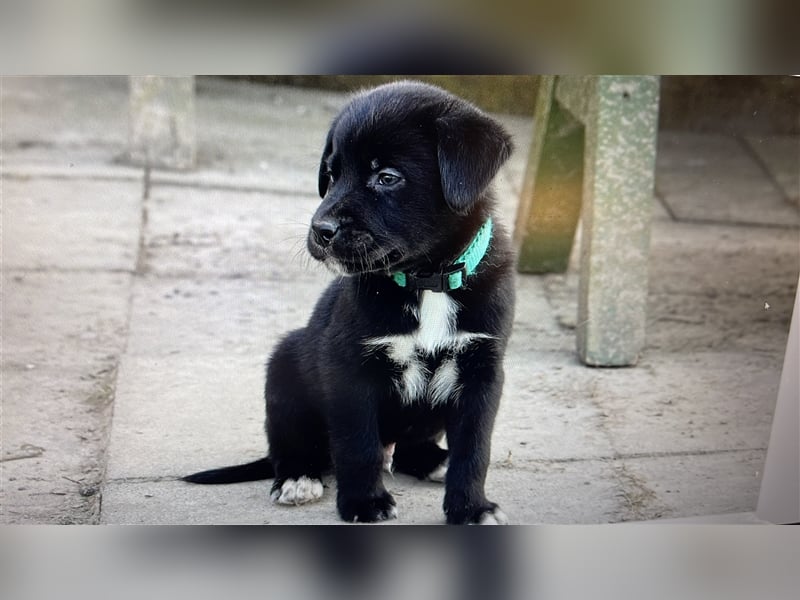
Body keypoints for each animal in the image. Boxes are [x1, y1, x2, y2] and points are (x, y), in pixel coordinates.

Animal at [184, 81, 516, 524]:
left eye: (386, 177)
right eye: (331, 174)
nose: (320, 230)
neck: (427, 283)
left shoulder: (482, 371)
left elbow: (475, 449)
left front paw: (471, 508)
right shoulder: (349, 371)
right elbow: (358, 446)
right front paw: (364, 503)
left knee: (409, 449)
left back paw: (434, 461)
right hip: (284, 369)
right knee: (289, 446)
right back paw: (297, 477)